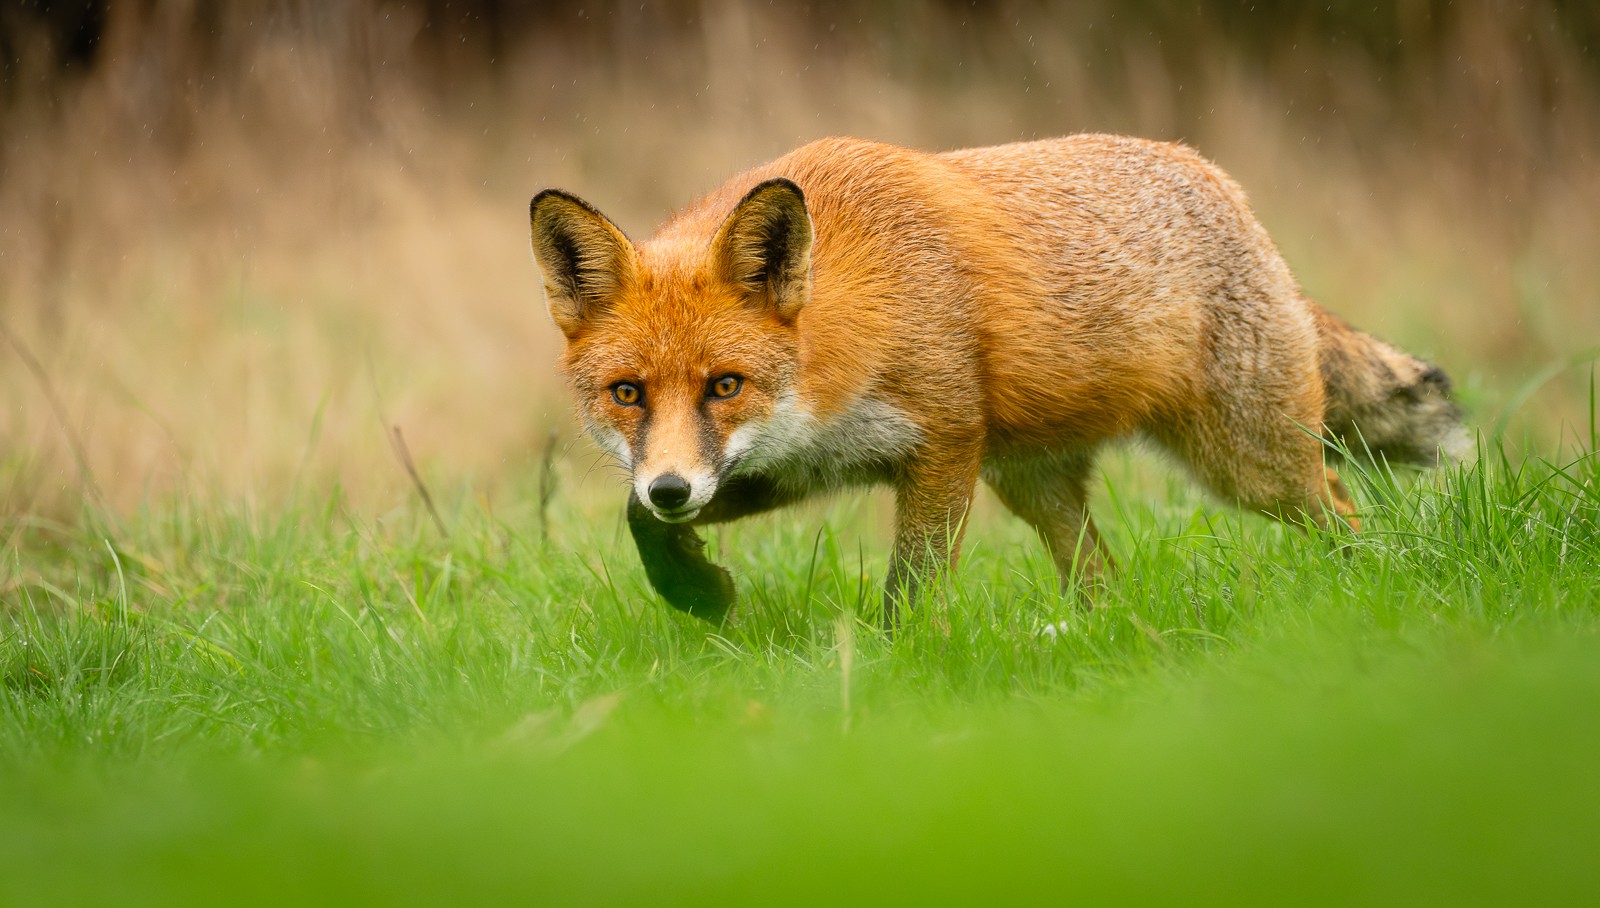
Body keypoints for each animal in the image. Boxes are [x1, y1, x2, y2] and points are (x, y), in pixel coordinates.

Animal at [531, 136, 1465, 623]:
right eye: (627, 393)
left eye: (724, 385)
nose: (673, 490)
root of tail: (1218, 179)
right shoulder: (804, 461)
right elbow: (634, 521)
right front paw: (695, 588)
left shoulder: (941, 444)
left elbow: (911, 592)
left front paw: (893, 673)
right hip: (1036, 485)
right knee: (1101, 577)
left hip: (1249, 463)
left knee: (1338, 503)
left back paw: (1364, 591)